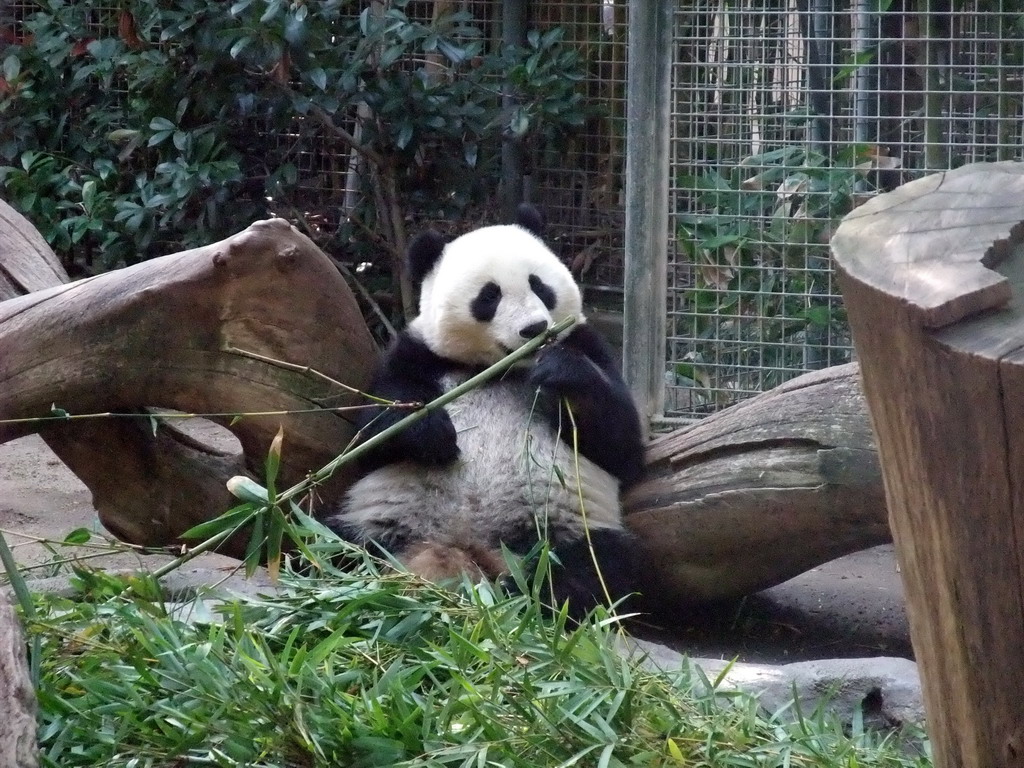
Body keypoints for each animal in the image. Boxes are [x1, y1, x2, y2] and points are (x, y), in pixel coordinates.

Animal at [325, 205, 647, 618]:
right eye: (489, 296)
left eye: (539, 285)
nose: (534, 329)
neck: (500, 369)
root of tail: (467, 551)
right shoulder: (415, 355)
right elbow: (369, 438)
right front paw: (433, 434)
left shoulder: (587, 343)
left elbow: (622, 446)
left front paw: (561, 372)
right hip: (377, 520)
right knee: (326, 543)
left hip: (562, 529)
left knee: (594, 567)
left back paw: (522, 598)